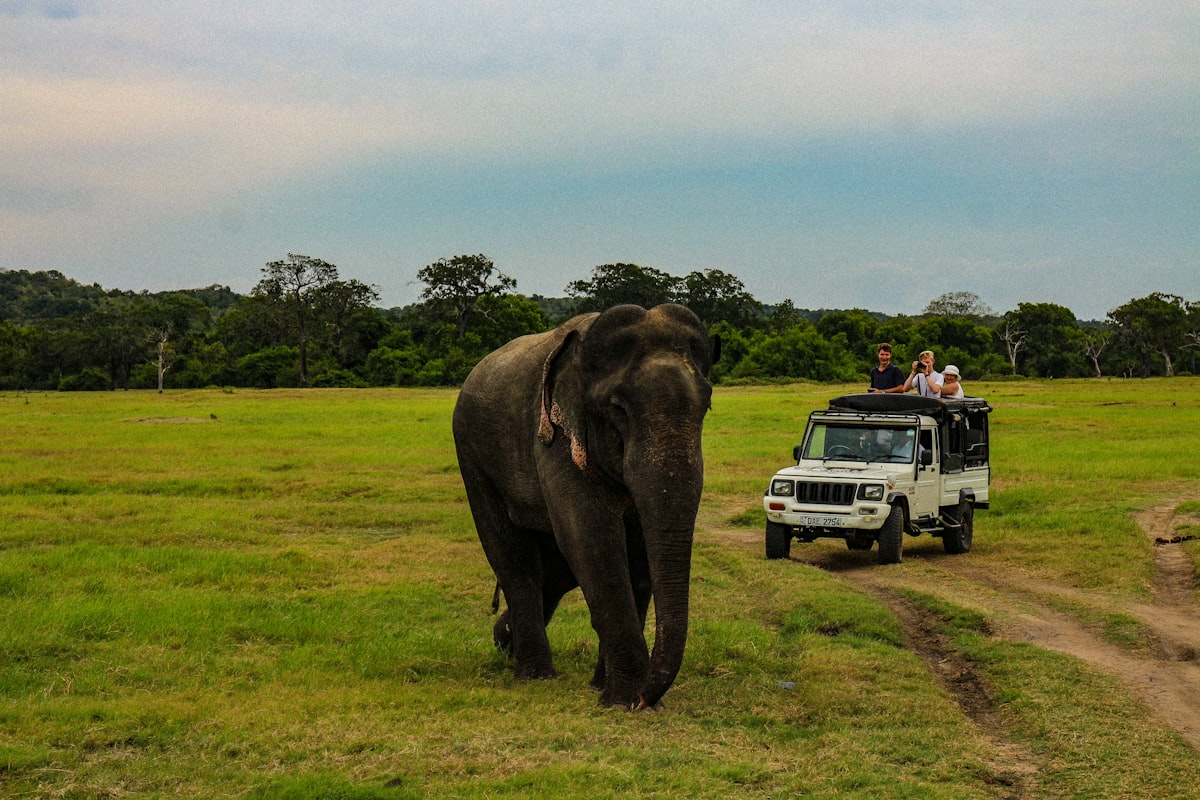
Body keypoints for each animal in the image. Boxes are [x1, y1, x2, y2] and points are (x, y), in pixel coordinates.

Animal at [452, 303, 719, 709]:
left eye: (706, 406)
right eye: (618, 409)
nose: (647, 698)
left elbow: (636, 552)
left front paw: (610, 690)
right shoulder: (555, 437)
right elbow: (591, 537)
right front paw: (623, 701)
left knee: (553, 570)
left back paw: (505, 640)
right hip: (472, 456)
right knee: (513, 558)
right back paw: (535, 674)